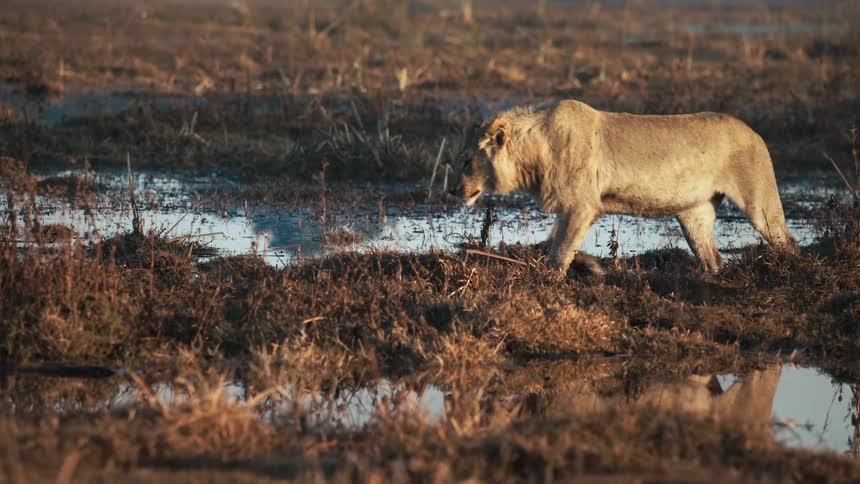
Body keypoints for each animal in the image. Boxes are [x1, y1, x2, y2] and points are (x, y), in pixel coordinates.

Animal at [454, 100, 795, 274]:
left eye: (466, 161)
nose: (454, 191)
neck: (535, 152)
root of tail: (755, 133)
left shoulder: (582, 206)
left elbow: (560, 251)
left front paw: (551, 281)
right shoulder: (570, 207)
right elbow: (554, 243)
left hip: (759, 201)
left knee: (786, 240)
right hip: (694, 213)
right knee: (713, 257)